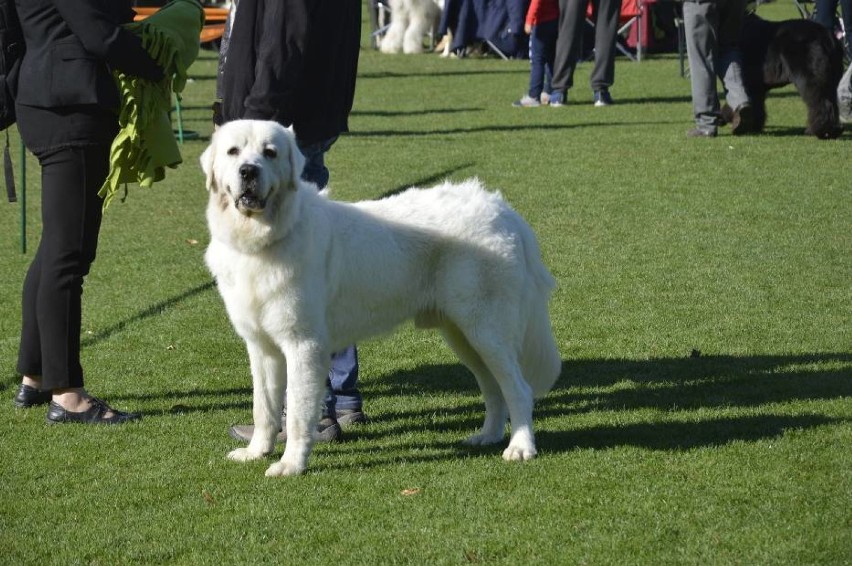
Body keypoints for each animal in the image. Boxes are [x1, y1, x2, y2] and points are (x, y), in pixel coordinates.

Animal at [199, 121, 560, 480]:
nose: (248, 171)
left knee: (518, 388)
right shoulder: (262, 347)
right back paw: (487, 436)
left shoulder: (303, 345)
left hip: (486, 330)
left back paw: (520, 447)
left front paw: (291, 464)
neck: (267, 237)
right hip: (463, 336)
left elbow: (300, 413)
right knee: (494, 389)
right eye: (233, 152)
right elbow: (264, 407)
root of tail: (502, 209)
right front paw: (256, 451)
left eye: (270, 152)